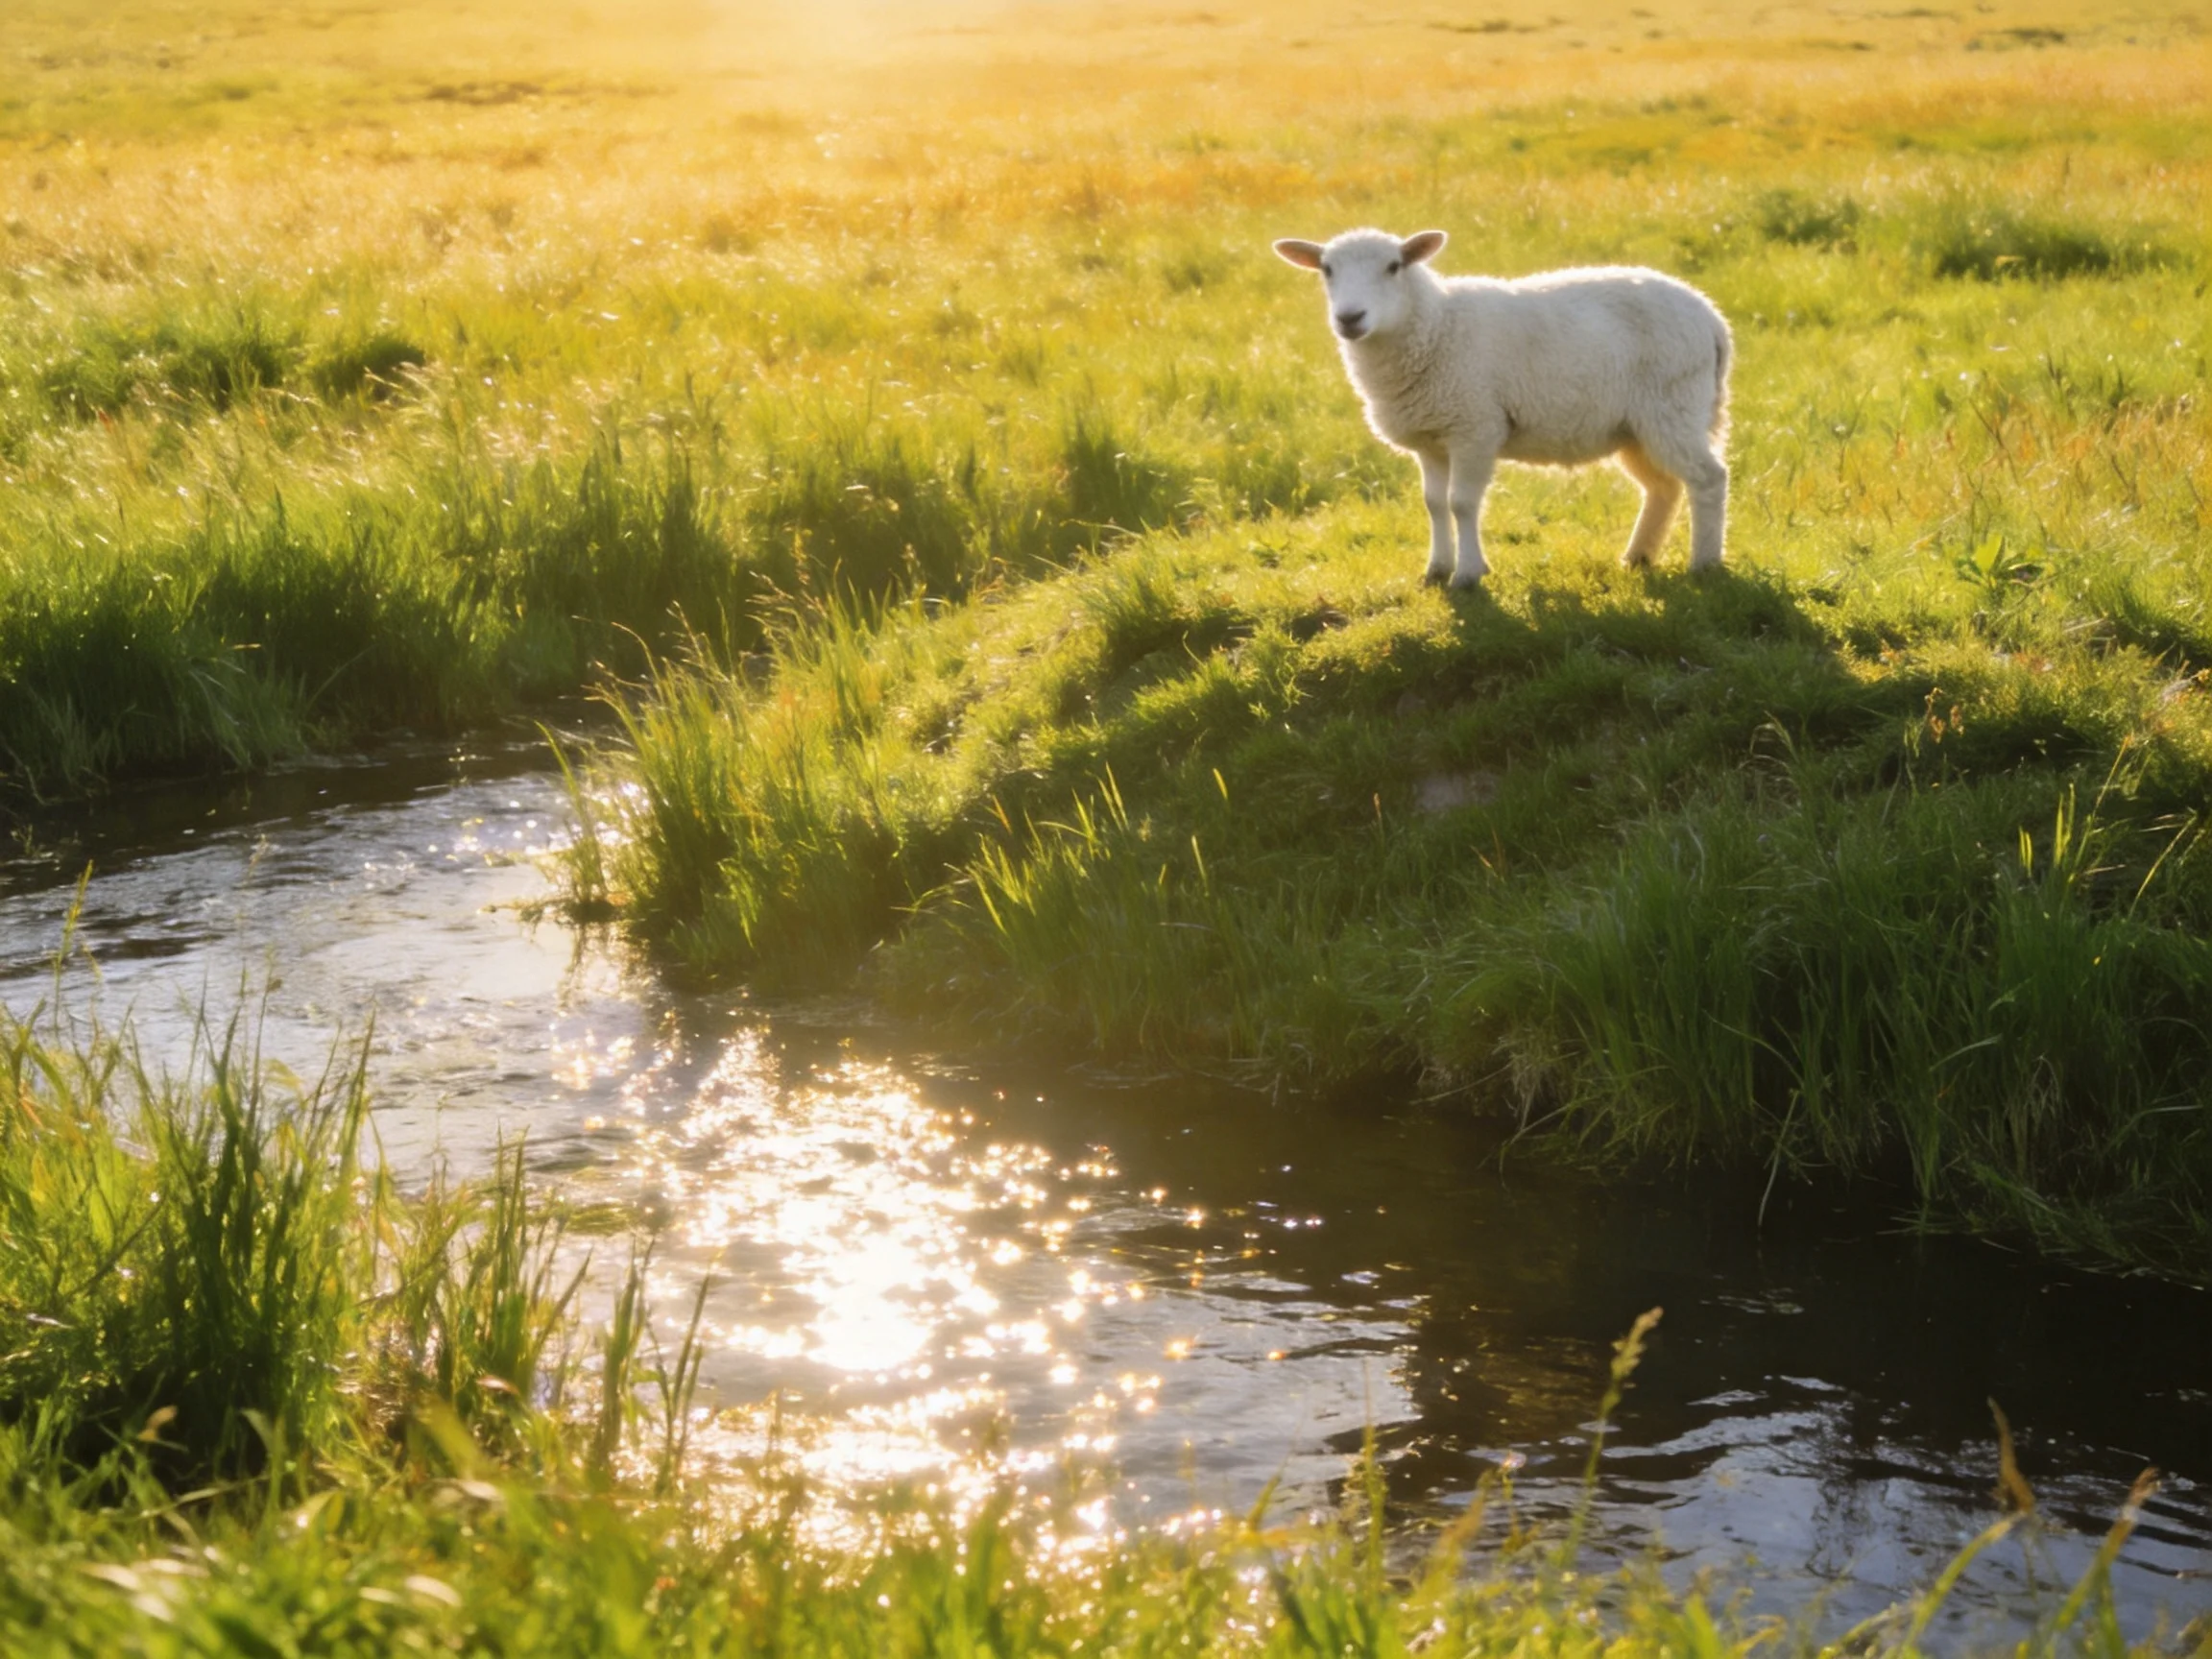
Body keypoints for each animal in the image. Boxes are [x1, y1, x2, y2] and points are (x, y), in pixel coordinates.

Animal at [1273, 228, 1733, 589]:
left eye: (1393, 266)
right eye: (1326, 269)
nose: (1350, 318)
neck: (1435, 326)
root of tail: (1712, 317)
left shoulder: (1474, 425)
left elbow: (1461, 503)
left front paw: (1468, 575)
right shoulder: (1431, 437)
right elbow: (1434, 503)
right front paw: (1436, 570)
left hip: (1673, 406)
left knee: (1708, 479)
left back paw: (1704, 564)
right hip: (1638, 427)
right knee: (1663, 488)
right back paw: (1638, 556)